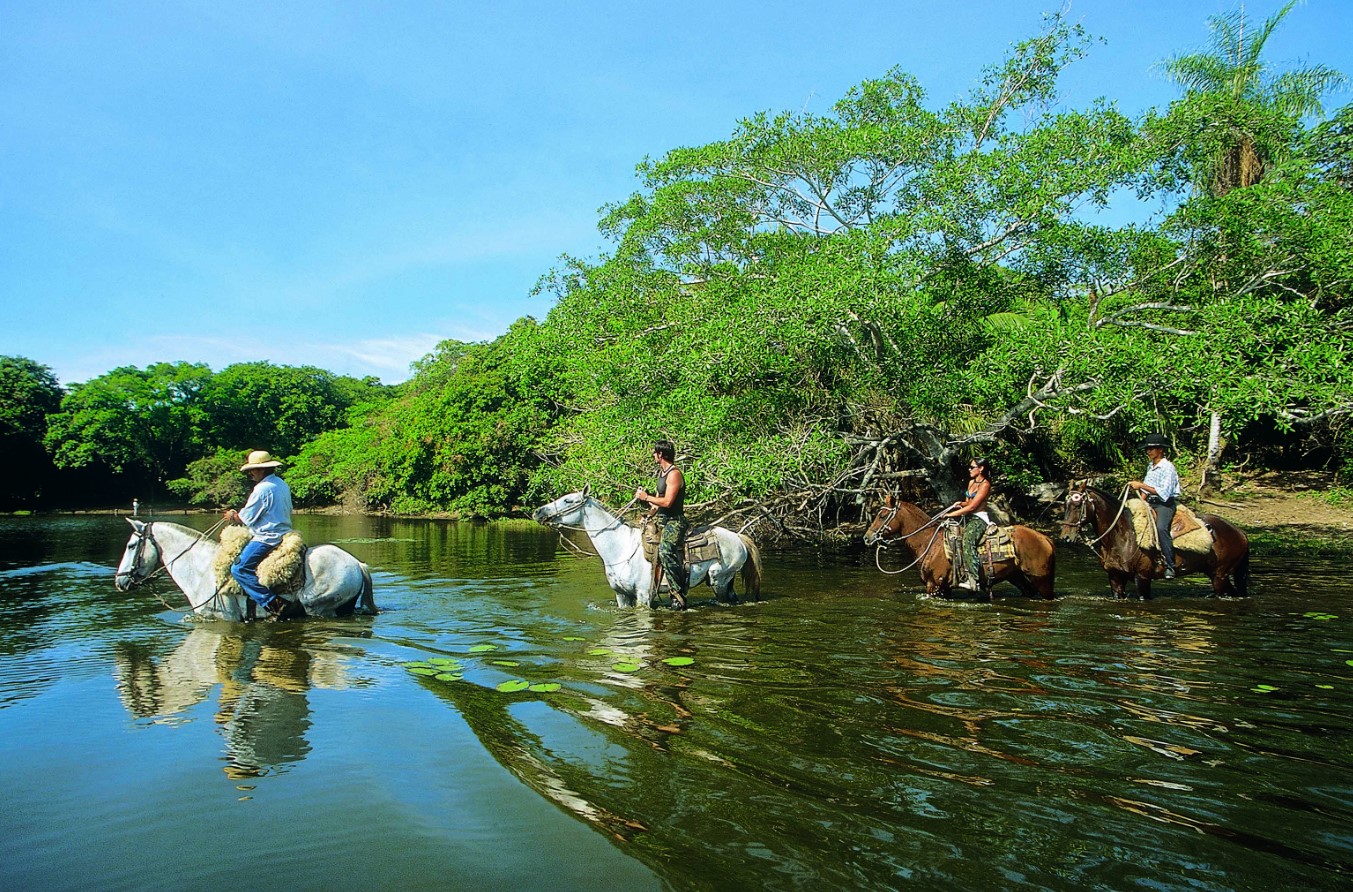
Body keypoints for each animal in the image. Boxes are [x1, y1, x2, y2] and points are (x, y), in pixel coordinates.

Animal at [115, 519, 376, 625]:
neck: (201, 571)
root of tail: (357, 564)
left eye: (131, 546)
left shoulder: (225, 619)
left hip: (319, 607)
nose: (120, 582)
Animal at [530, 484, 763, 611]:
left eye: (568, 500)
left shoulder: (643, 596)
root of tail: (738, 537)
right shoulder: (622, 596)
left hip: (719, 580)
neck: (620, 548)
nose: (537, 512)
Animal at [865, 495, 1055, 600]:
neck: (930, 543)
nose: (867, 537)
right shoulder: (945, 588)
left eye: (882, 515)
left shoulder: (934, 586)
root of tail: (1045, 538)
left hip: (1042, 580)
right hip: (1016, 575)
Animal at [1060, 481, 1250, 600]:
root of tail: (1240, 532)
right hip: (1216, 574)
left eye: (1077, 505)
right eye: (1065, 505)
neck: (1123, 536)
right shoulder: (1115, 578)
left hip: (1220, 575)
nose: (1065, 538)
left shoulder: (1143, 577)